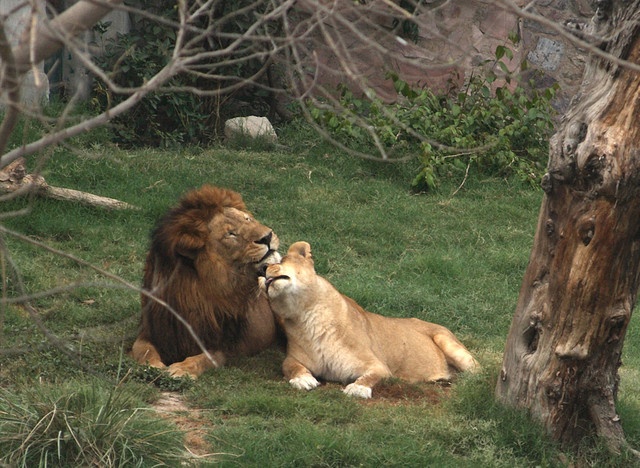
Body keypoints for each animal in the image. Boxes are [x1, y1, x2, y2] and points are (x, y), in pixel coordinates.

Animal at [129, 185, 282, 378]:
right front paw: (152, 366)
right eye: (230, 234)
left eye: (247, 219)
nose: (267, 237)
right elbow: (143, 349)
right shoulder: (151, 332)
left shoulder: (223, 344)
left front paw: (182, 369)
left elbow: (204, 358)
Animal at [260, 241, 480, 398]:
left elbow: (372, 376)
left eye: (278, 262)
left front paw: (357, 389)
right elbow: (290, 367)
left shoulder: (378, 365)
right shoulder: (294, 358)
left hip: (449, 343)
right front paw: (303, 380)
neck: (305, 315)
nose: (262, 270)